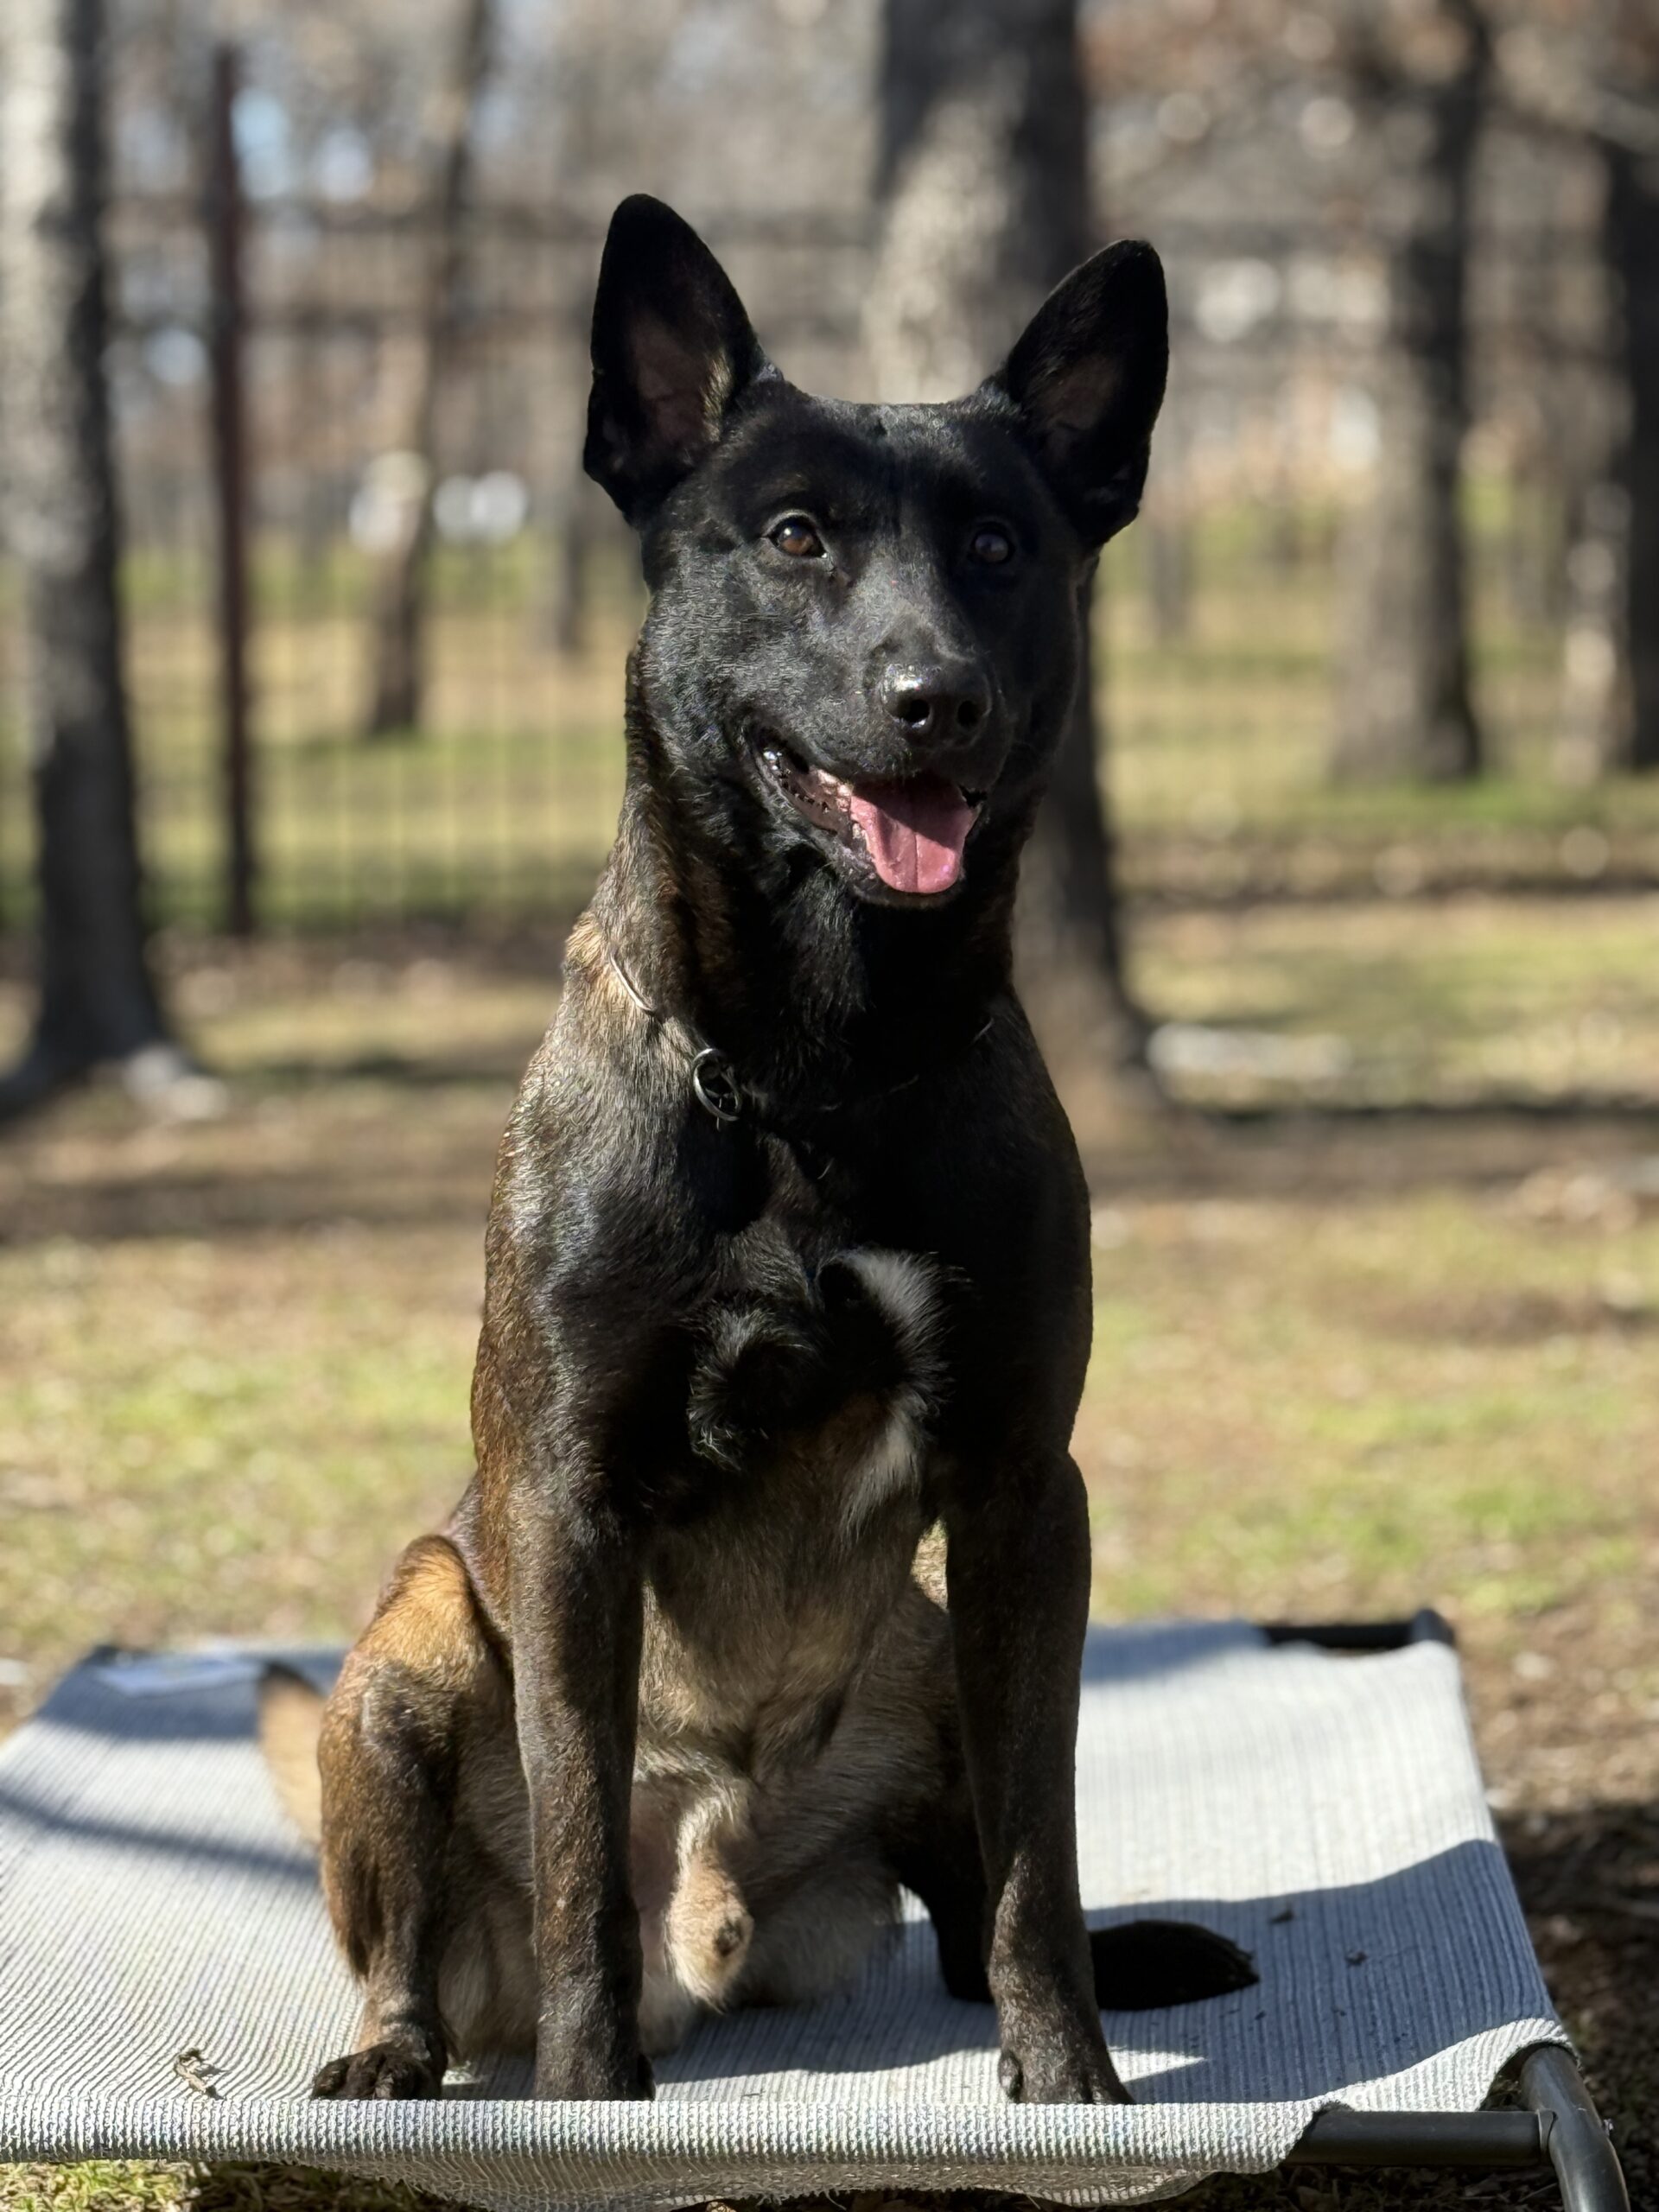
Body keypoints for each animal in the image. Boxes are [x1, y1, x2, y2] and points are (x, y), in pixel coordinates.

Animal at [259, 194, 1256, 2106]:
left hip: (929, 1653)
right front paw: (590, 2102)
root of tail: (720, 1908)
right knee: (429, 1937)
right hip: (410, 1649)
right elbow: (578, 1833)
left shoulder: (1024, 1494)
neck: (816, 1068)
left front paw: (1070, 2084)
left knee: (965, 1904)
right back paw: (408, 2051)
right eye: (795, 537)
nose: (935, 697)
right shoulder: (567, 1506)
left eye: (1001, 547)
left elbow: (1040, 1856)